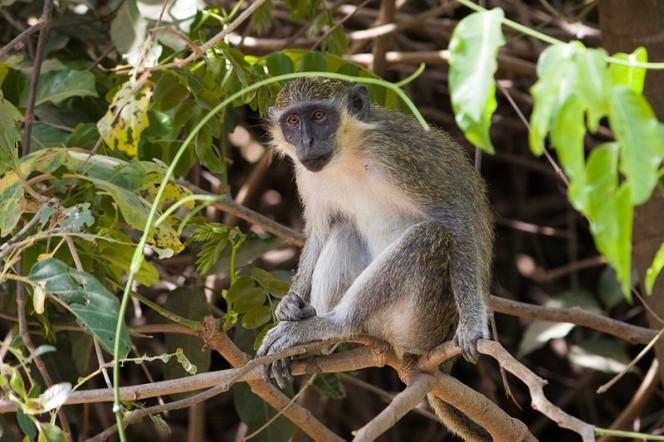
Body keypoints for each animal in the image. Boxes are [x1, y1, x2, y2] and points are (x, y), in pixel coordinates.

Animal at [256, 76, 496, 438]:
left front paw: (472, 324)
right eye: (293, 121)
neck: (348, 153)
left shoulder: (398, 156)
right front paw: (289, 306)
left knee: (430, 234)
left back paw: (333, 325)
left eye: (319, 116)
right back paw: (313, 339)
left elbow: (455, 218)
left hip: (420, 323)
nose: (307, 142)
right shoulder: (307, 175)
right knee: (345, 229)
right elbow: (319, 231)